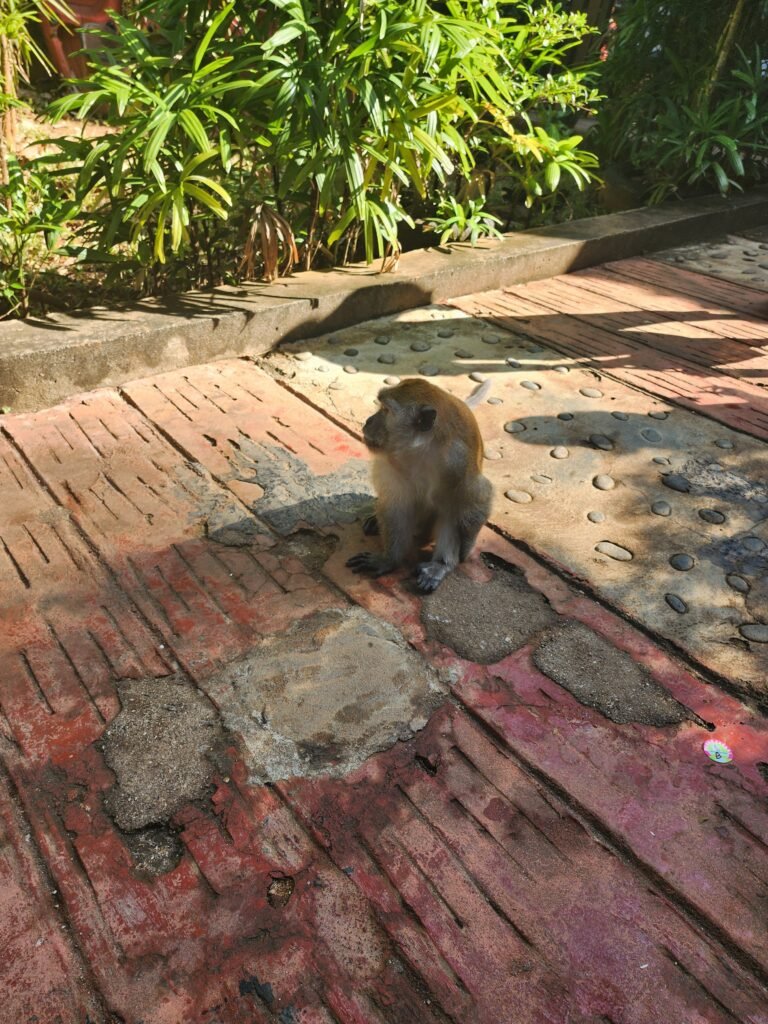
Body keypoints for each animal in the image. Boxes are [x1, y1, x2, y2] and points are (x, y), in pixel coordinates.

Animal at [346, 378, 493, 593]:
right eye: (380, 406)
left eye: (386, 410)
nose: (368, 421)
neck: (421, 450)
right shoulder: (390, 463)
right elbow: (397, 506)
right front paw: (389, 559)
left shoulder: (458, 462)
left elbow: (477, 500)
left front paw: (460, 554)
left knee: (450, 511)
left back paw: (439, 565)